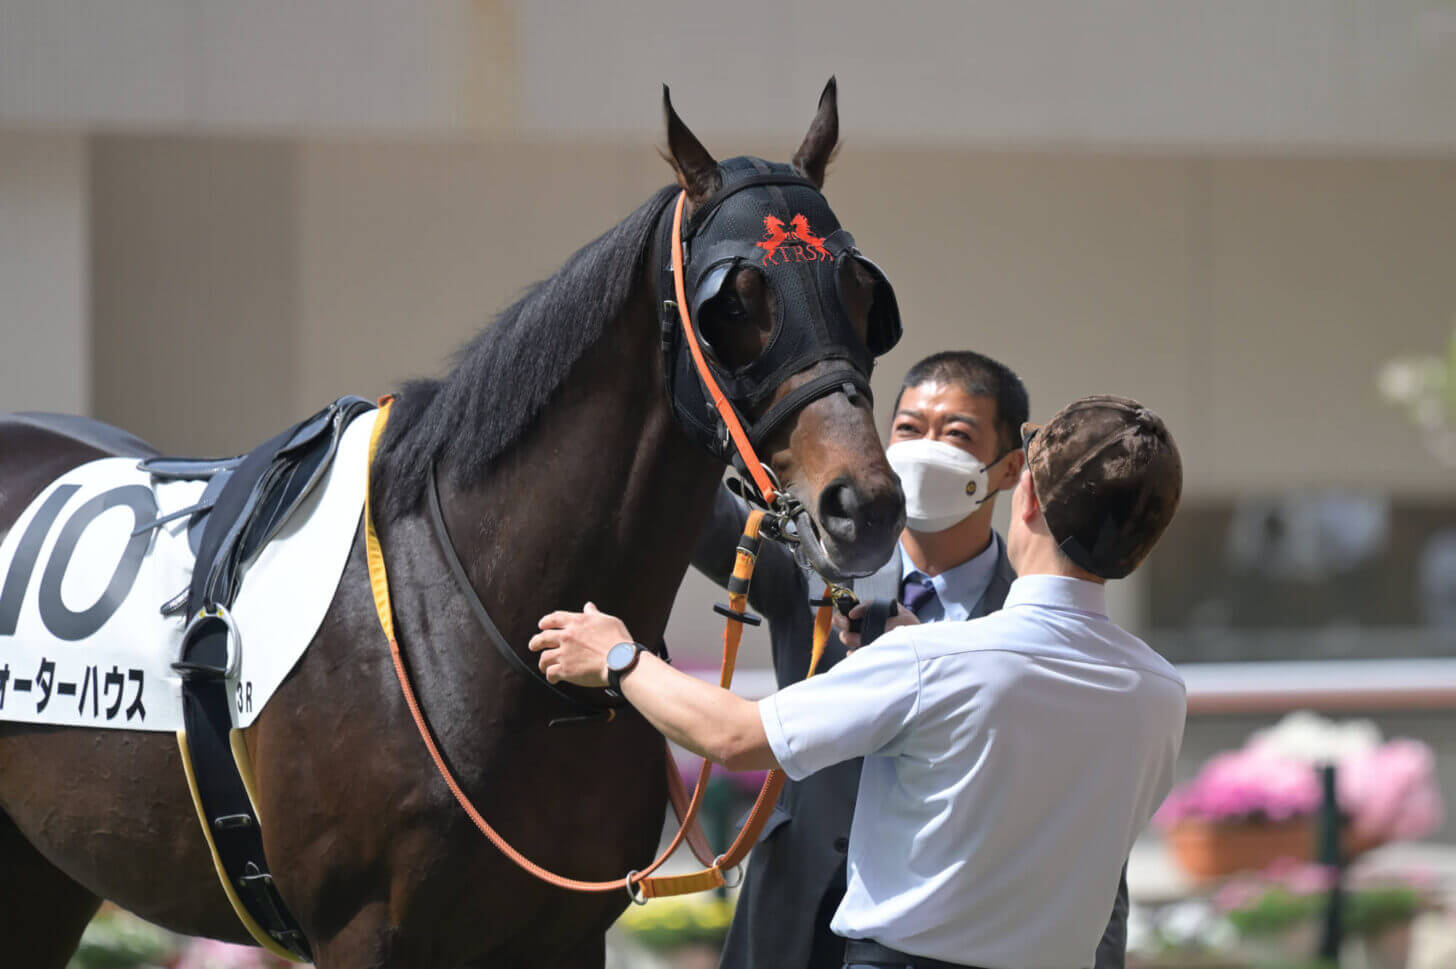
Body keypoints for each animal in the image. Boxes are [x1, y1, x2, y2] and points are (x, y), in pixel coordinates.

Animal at [0, 82, 902, 966]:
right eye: (735, 304)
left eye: (861, 293)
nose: (864, 505)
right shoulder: (362, 932)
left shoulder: (566, 935)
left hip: (46, 877)